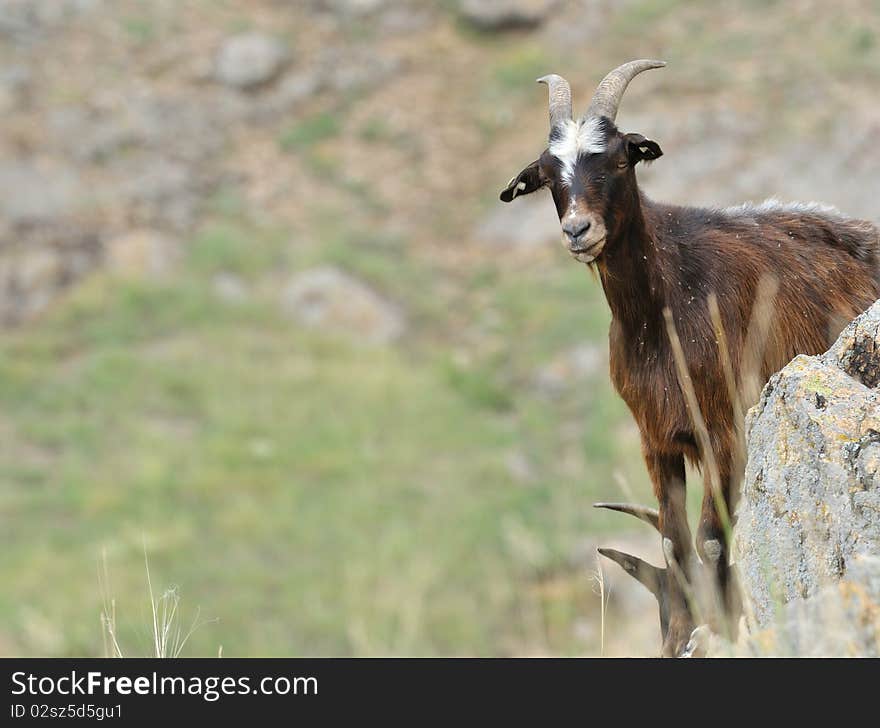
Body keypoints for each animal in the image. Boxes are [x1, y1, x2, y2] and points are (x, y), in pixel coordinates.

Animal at [498, 59, 880, 656]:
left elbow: (711, 543)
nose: (578, 230)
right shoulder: (656, 438)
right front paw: (684, 633)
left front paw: (717, 628)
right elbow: (676, 546)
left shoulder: (727, 431)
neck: (664, 308)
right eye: (546, 173)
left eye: (618, 158)